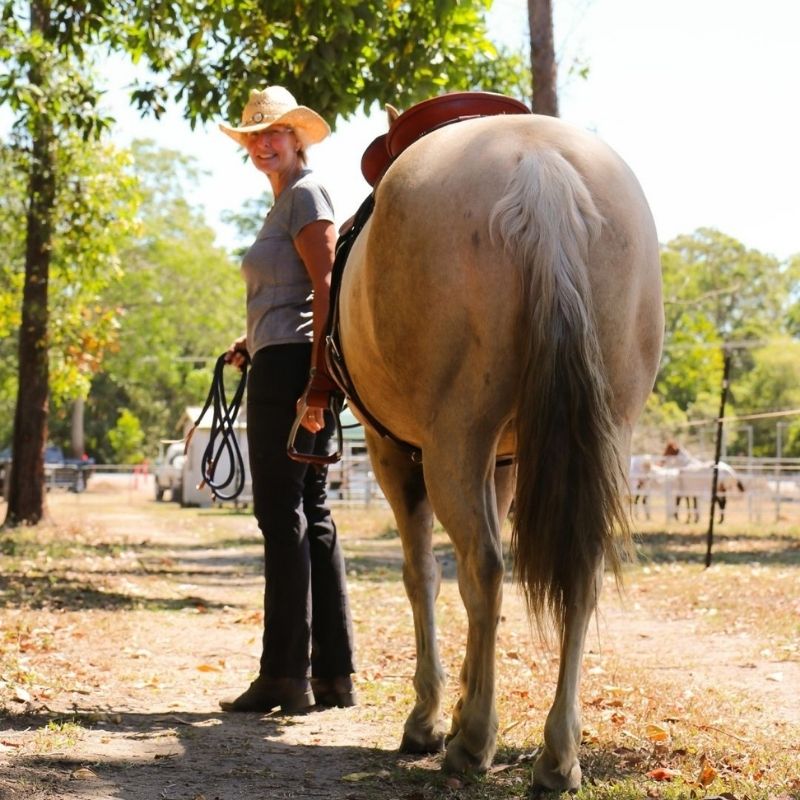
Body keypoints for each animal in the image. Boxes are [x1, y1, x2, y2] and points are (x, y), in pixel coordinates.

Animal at [335, 109, 663, 791]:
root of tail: (540, 166)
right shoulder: (506, 463)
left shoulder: (392, 454)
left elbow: (424, 576)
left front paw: (433, 716)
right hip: (605, 438)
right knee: (578, 574)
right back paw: (557, 756)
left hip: (452, 442)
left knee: (482, 568)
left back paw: (473, 743)